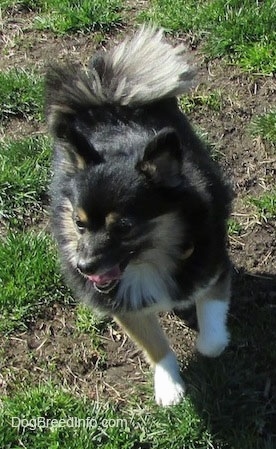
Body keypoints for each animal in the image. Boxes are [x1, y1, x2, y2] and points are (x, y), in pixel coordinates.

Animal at [45, 27, 233, 406]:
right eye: (79, 223)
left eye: (124, 226)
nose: (84, 267)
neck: (146, 263)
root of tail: (107, 102)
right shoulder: (124, 304)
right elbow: (154, 344)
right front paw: (169, 387)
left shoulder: (213, 266)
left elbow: (211, 333)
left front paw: (211, 342)